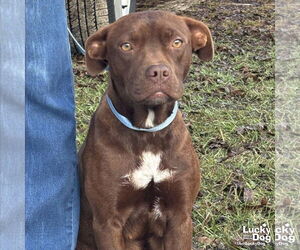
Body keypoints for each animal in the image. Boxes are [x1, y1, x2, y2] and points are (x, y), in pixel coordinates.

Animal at [77, 10, 213, 250]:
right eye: (126, 46)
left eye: (177, 42)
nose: (158, 71)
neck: (148, 133)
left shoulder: (180, 217)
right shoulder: (107, 223)